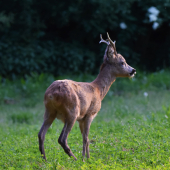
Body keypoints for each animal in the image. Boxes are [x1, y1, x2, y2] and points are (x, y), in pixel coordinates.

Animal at [37, 32, 136, 161]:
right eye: (122, 62)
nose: (133, 70)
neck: (98, 90)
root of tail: (51, 94)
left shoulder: (81, 119)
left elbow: (86, 138)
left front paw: (87, 157)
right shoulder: (90, 114)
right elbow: (85, 138)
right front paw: (85, 159)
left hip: (49, 111)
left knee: (41, 134)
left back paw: (45, 160)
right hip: (72, 111)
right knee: (62, 139)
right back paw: (75, 159)